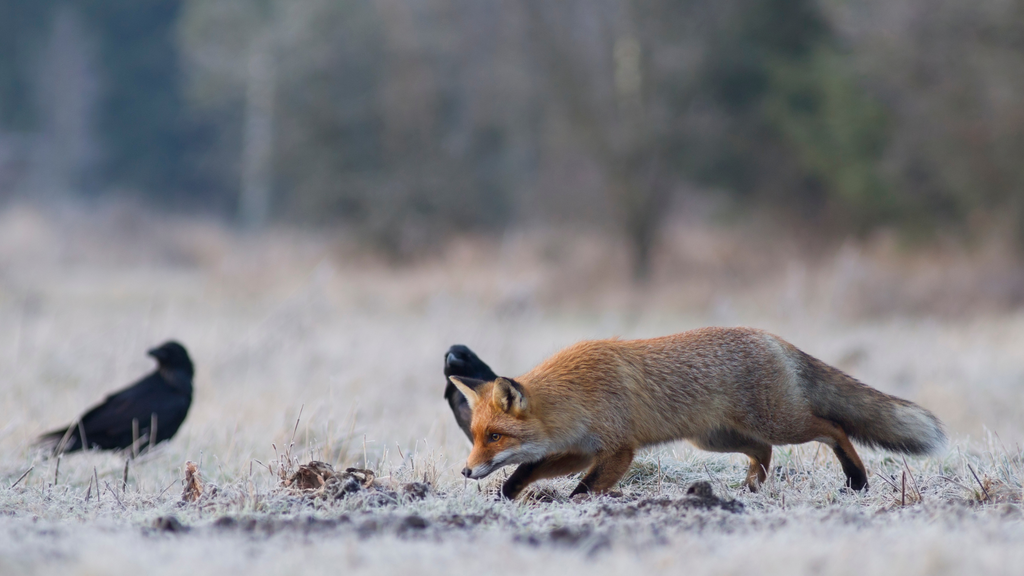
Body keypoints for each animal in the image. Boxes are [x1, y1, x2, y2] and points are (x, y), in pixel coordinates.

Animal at [452, 327, 946, 498]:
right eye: (474, 437)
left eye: (494, 437)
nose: (465, 471)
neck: (577, 396)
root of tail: (772, 338)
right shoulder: (580, 449)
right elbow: (528, 471)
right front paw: (506, 496)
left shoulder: (618, 450)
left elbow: (584, 489)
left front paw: (577, 506)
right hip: (717, 438)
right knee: (763, 453)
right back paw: (751, 488)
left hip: (781, 423)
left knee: (835, 428)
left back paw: (856, 480)